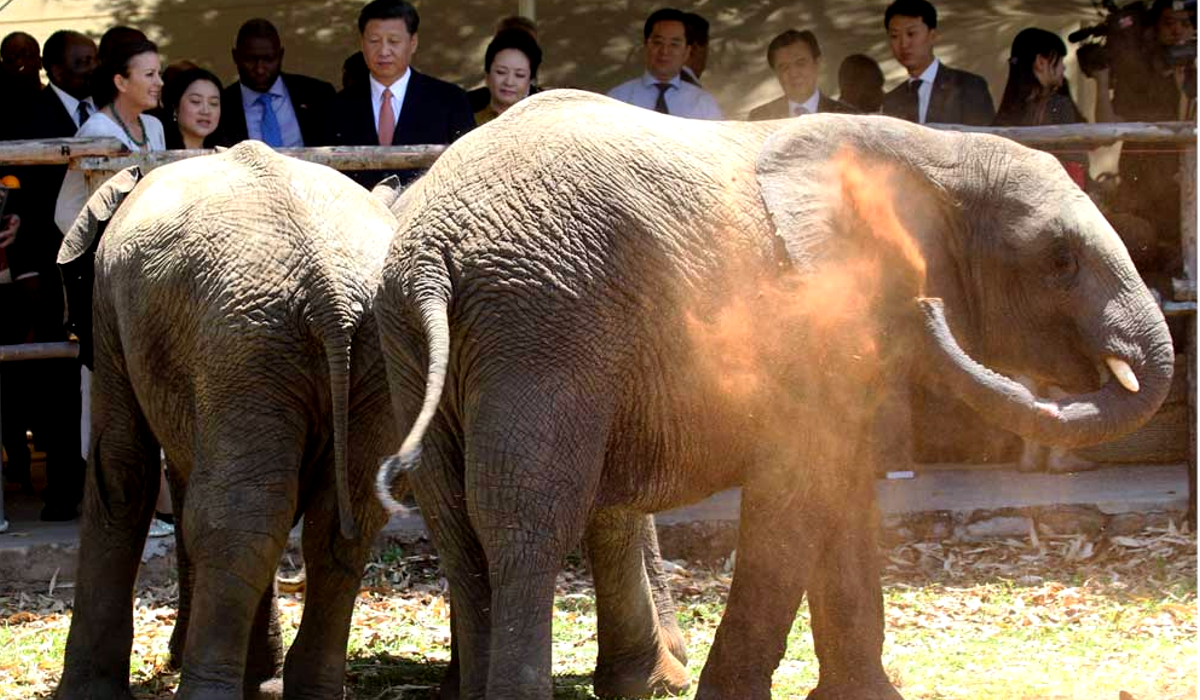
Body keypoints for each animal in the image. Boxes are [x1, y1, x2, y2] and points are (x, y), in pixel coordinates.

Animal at [374, 91, 1171, 700]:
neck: (937, 152)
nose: (930, 308)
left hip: (423, 345)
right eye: (1060, 260)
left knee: (456, 518)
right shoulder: (814, 312)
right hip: (545, 325)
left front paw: (866, 697)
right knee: (528, 517)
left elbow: (843, 489)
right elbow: (797, 488)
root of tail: (433, 254)